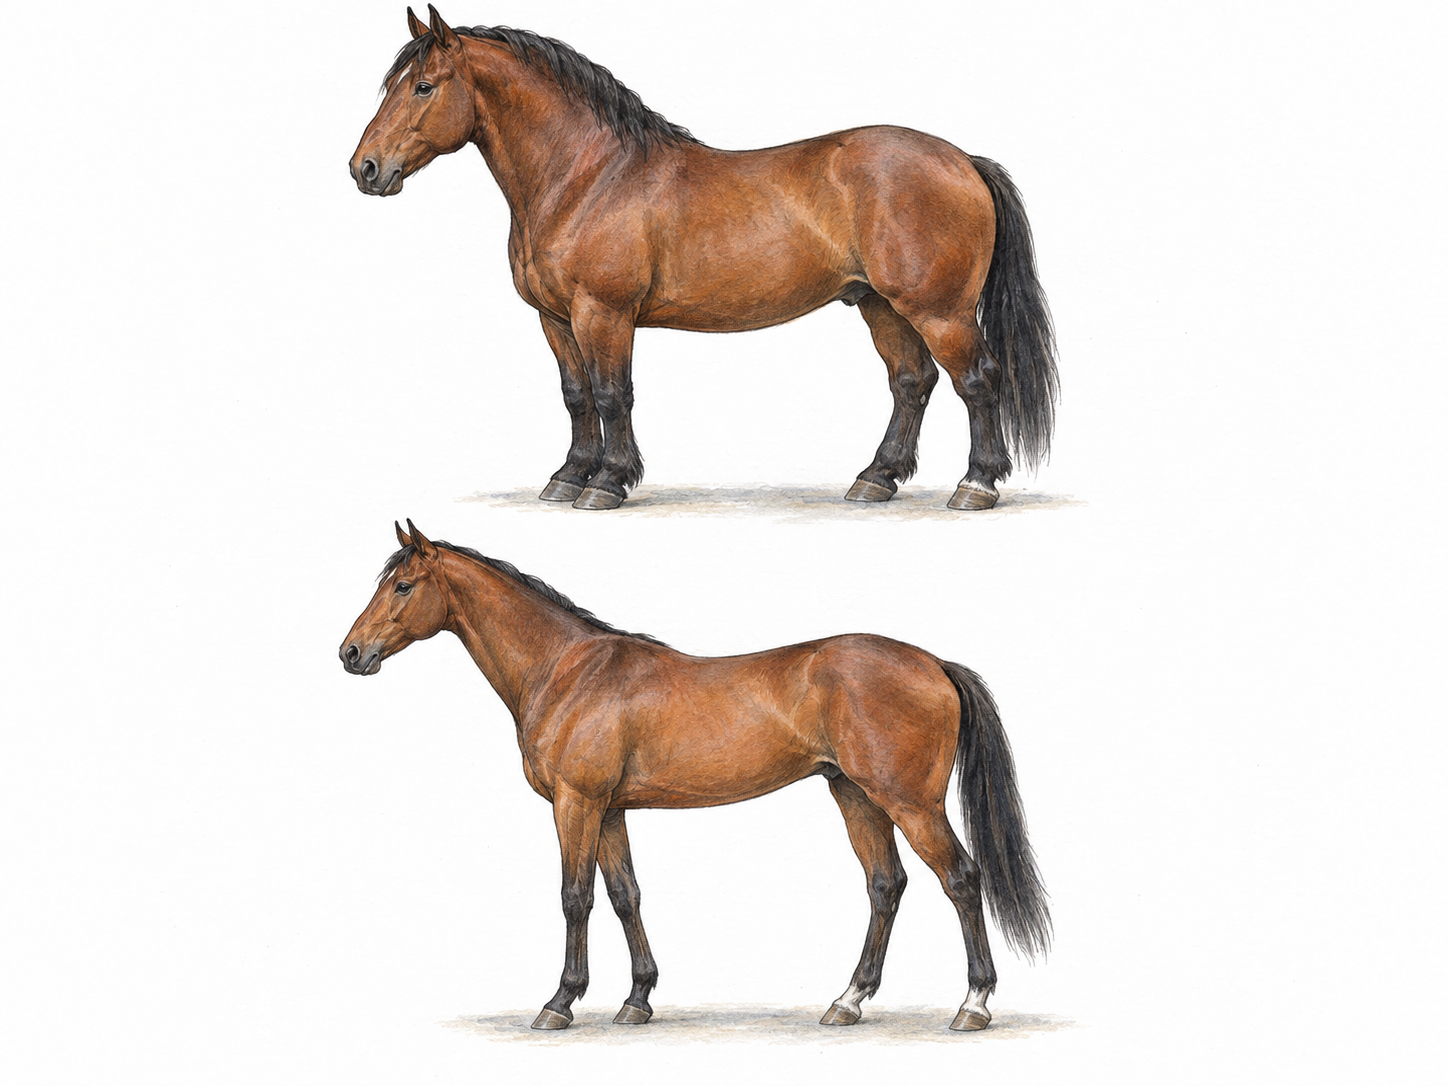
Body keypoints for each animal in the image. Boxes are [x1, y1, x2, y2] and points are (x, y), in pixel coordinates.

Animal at [339, 520, 1050, 1031]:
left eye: (402, 586)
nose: (351, 652)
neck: (567, 670)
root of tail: (933, 663)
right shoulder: (611, 810)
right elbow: (625, 895)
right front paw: (637, 1001)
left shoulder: (575, 804)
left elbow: (575, 897)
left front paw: (559, 1003)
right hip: (855, 795)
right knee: (886, 885)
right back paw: (846, 1002)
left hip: (909, 802)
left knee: (960, 879)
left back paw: (973, 1005)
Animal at [349, 7, 1059, 511]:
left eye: (423, 87)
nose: (366, 169)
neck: (587, 175)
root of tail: (961, 159)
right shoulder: (554, 318)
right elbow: (576, 395)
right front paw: (567, 477)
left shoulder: (603, 313)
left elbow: (612, 394)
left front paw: (607, 483)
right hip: (880, 304)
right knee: (911, 383)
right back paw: (874, 480)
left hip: (939, 310)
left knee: (978, 381)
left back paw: (976, 487)